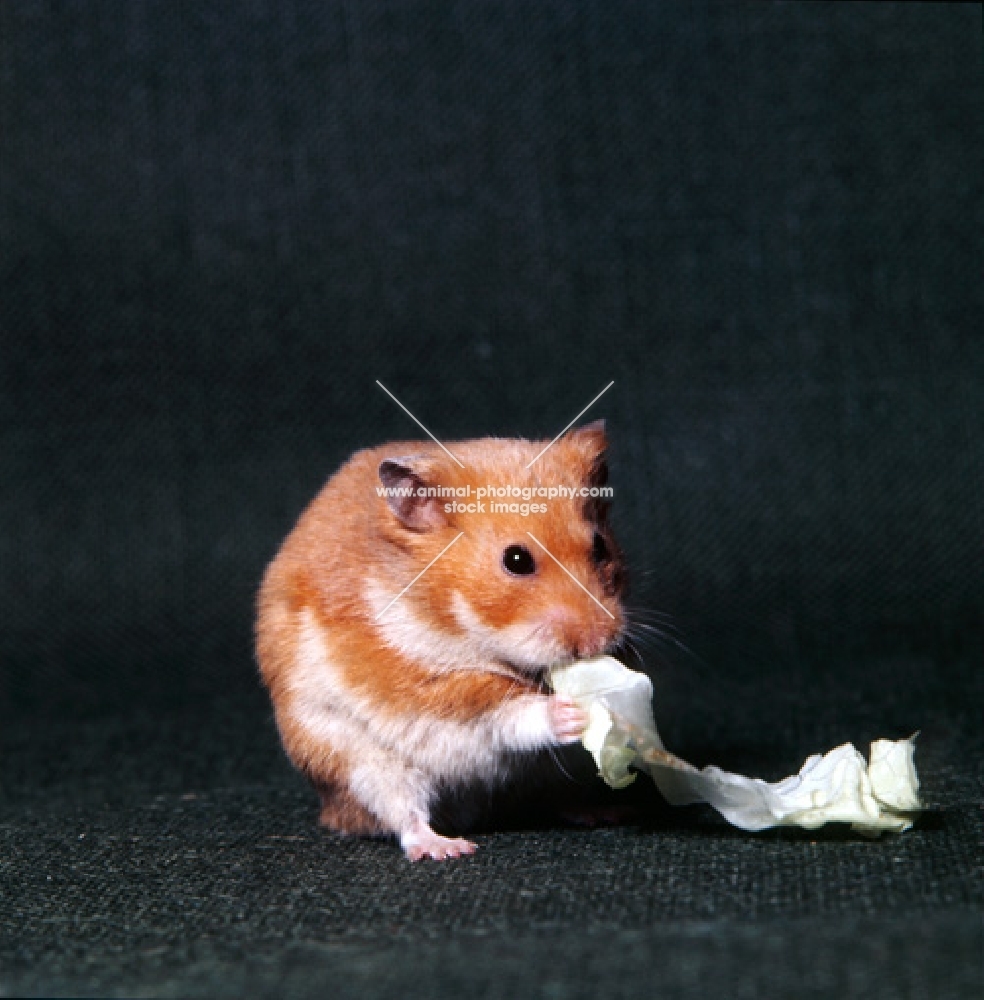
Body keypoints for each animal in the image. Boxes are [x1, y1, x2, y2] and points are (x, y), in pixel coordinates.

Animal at [254, 422, 624, 860]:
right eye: (516, 560)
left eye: (600, 546)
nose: (597, 642)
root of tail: (333, 814)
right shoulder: (422, 687)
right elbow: (504, 709)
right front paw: (570, 712)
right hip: (358, 763)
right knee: (403, 814)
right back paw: (448, 847)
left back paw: (599, 811)